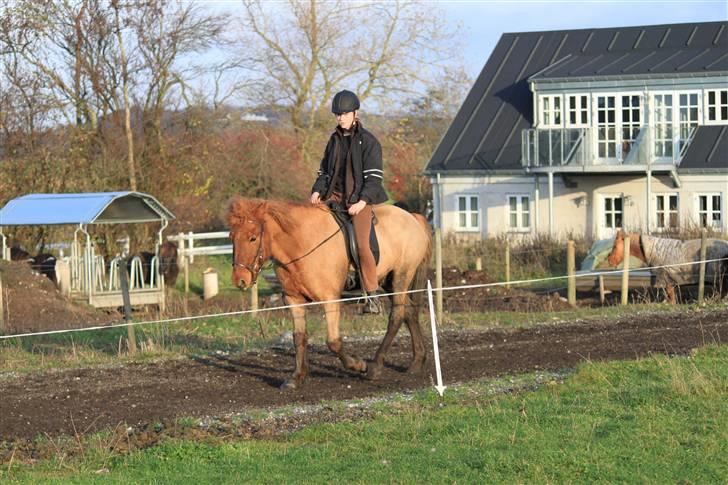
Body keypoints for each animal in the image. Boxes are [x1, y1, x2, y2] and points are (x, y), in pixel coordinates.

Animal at [228, 197, 432, 390]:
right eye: (232, 237)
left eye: (253, 238)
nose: (240, 280)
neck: (302, 243)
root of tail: (412, 217)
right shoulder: (294, 300)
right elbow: (299, 337)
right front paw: (297, 378)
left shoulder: (330, 299)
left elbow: (333, 342)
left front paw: (359, 365)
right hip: (388, 281)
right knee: (409, 311)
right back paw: (416, 362)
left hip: (401, 277)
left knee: (397, 315)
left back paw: (375, 367)